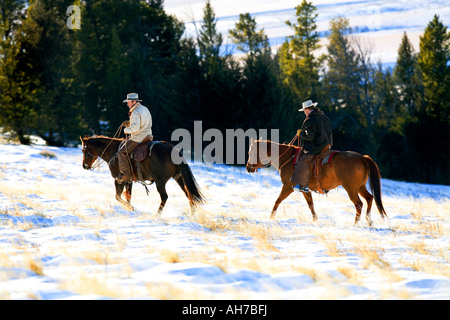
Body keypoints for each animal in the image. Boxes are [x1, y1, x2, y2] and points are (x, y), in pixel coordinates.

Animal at [246, 139, 386, 225]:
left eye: (250, 152)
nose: (248, 167)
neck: (288, 158)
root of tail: (362, 157)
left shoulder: (288, 186)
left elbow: (277, 201)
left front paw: (271, 217)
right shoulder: (304, 189)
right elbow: (310, 204)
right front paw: (315, 219)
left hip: (351, 189)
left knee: (359, 204)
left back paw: (356, 223)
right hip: (360, 187)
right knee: (370, 198)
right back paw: (369, 220)